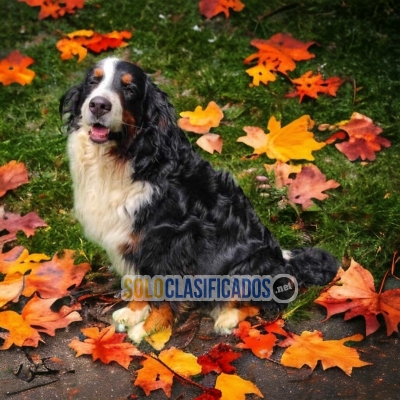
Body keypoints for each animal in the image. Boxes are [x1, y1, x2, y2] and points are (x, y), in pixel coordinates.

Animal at [61, 57, 340, 344]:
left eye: (129, 88)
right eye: (93, 81)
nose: (98, 104)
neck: (128, 156)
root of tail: (285, 261)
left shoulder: (171, 242)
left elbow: (163, 290)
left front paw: (150, 328)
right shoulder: (135, 240)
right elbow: (139, 281)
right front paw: (134, 312)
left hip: (247, 267)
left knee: (263, 303)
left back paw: (227, 318)